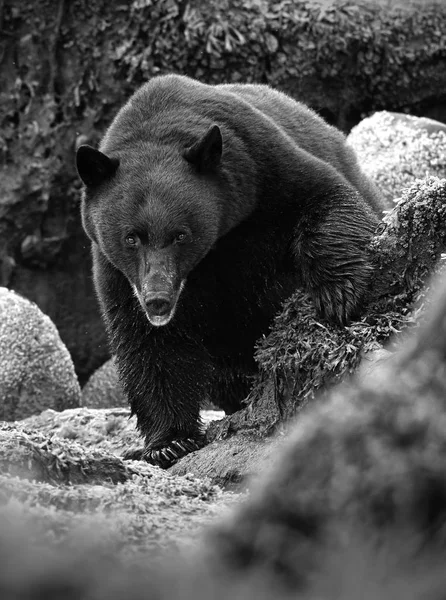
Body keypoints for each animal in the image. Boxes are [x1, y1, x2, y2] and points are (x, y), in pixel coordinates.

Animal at [76, 75, 384, 466]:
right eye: (131, 238)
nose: (158, 300)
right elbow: (149, 345)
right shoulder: (115, 272)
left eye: (181, 234)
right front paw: (169, 442)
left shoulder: (263, 166)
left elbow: (325, 198)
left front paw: (336, 295)